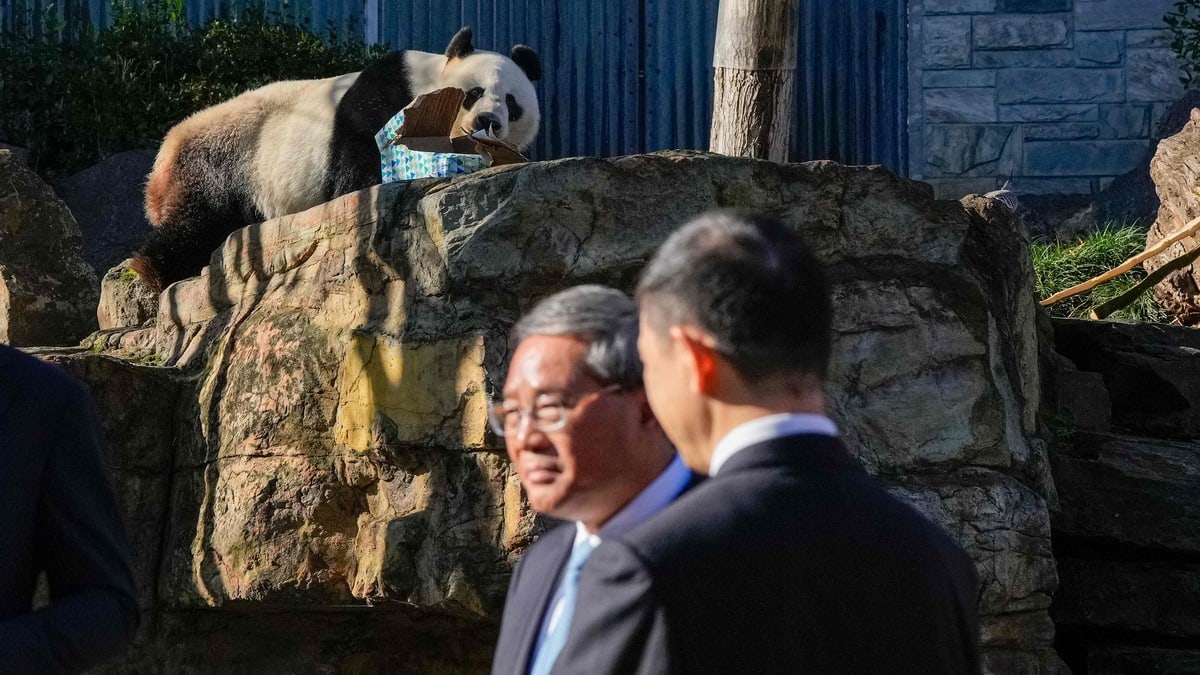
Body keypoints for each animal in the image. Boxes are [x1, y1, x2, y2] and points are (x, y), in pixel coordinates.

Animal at [131, 27, 541, 292]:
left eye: (512, 103)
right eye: (474, 93)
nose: (488, 121)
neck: (427, 85)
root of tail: (162, 162)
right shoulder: (384, 96)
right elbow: (359, 156)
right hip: (223, 160)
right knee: (198, 221)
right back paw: (154, 271)